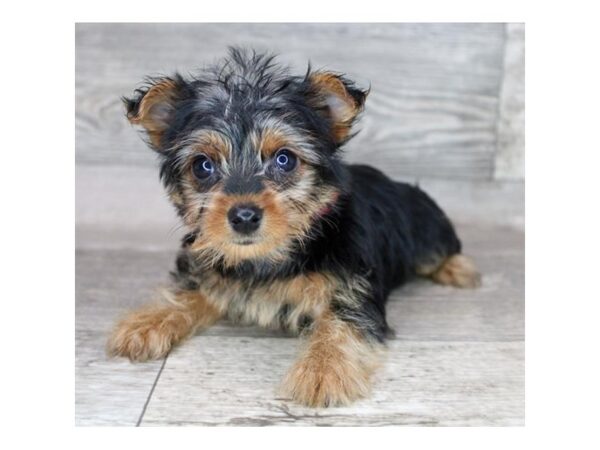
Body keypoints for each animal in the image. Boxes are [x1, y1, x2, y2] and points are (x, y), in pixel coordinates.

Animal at [108, 47, 480, 406]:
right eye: (203, 166)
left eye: (284, 159)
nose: (244, 216)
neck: (273, 255)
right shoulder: (211, 267)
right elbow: (189, 289)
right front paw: (146, 323)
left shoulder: (352, 285)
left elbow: (343, 322)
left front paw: (322, 370)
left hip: (427, 232)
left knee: (442, 250)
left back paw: (460, 271)